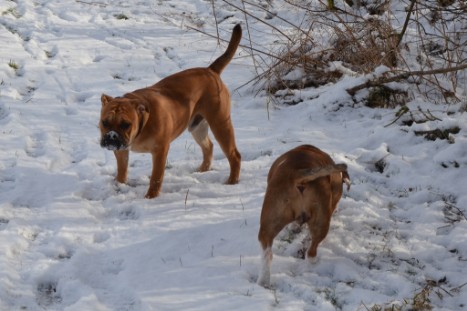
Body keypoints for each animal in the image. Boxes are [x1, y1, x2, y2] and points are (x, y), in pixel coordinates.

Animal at [100, 24, 243, 200]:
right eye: (104, 122)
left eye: (126, 124)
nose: (111, 137)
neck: (142, 123)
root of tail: (211, 71)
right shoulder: (121, 151)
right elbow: (122, 170)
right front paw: (119, 185)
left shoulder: (160, 151)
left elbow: (156, 177)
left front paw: (151, 197)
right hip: (197, 126)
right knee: (208, 146)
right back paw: (202, 170)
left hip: (220, 124)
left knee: (234, 155)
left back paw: (232, 181)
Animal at [256, 145, 352, 288]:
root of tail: (297, 175)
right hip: (321, 218)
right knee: (311, 251)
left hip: (269, 222)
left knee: (267, 253)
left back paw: (263, 282)